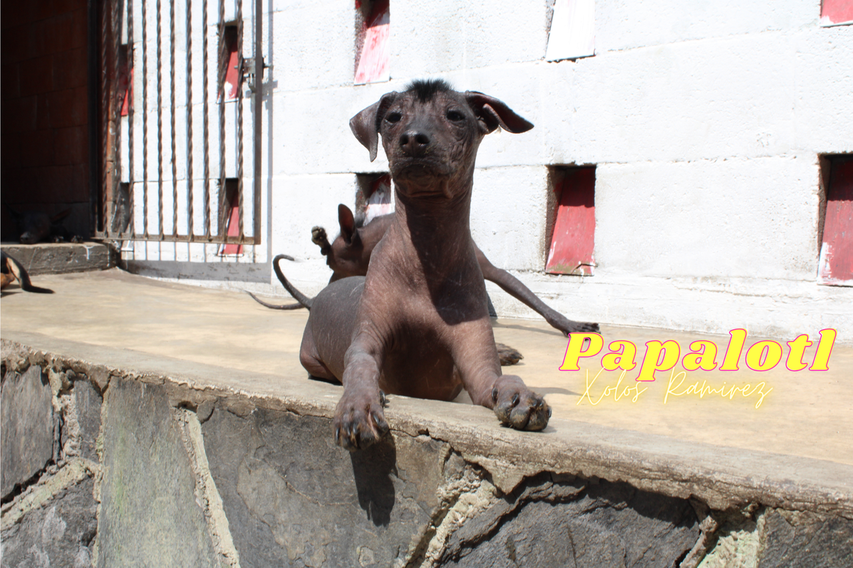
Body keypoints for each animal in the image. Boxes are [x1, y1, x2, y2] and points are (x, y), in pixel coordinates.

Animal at [300, 80, 552, 450]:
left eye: (455, 115)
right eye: (393, 117)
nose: (413, 139)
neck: (427, 256)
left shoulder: (477, 367)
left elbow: (500, 379)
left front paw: (520, 395)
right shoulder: (366, 342)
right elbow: (359, 368)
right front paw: (358, 405)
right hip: (311, 359)